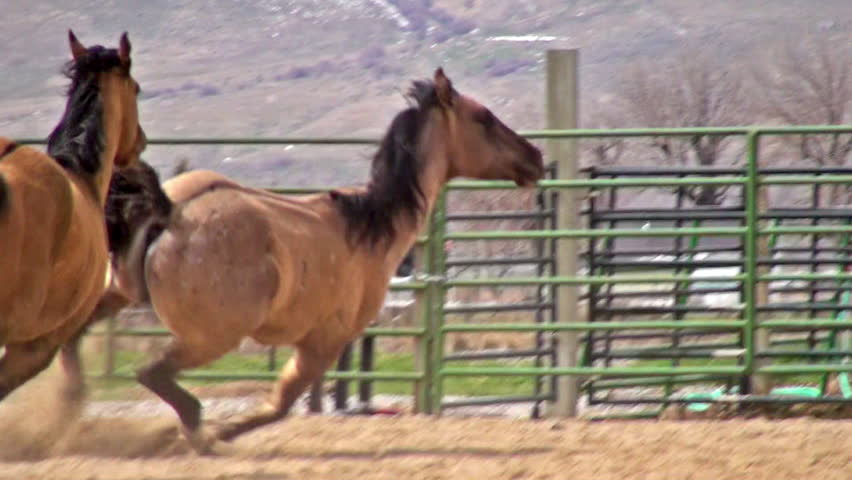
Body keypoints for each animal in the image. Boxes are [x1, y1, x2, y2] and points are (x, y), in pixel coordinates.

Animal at [80, 68, 543, 453]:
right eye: (483, 117)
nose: (535, 157)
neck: (368, 229)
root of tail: (172, 212)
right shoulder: (323, 342)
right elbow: (281, 405)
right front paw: (221, 432)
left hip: (113, 294)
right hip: (211, 337)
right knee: (152, 374)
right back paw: (195, 433)